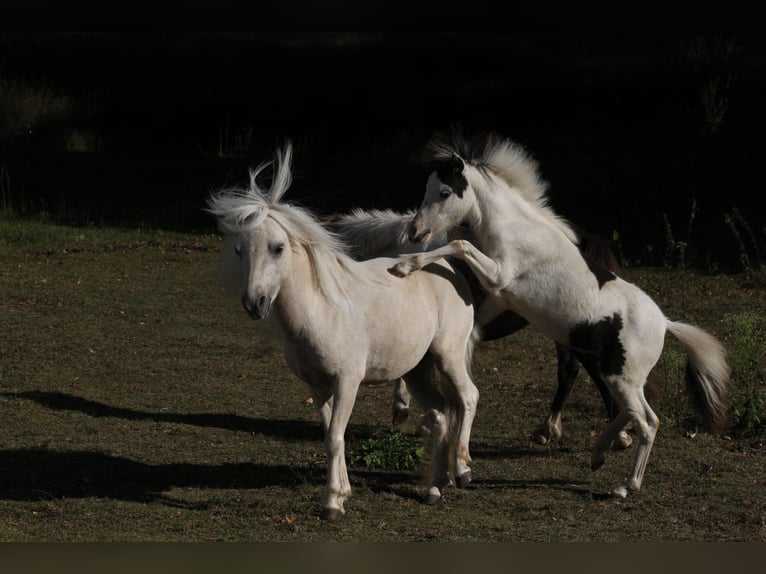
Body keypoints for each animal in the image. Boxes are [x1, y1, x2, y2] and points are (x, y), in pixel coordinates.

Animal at [206, 143, 480, 520]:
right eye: (239, 250)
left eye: (278, 248)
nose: (254, 303)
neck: (322, 311)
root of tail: (446, 267)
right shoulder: (317, 387)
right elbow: (330, 437)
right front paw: (344, 492)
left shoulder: (347, 382)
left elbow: (336, 437)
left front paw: (333, 503)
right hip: (417, 370)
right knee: (439, 416)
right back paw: (434, 489)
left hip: (448, 355)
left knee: (468, 398)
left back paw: (463, 470)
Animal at [390, 132, 732, 500]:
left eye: (444, 192)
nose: (416, 232)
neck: (517, 230)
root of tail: (666, 324)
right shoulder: (500, 298)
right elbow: (472, 326)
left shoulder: (498, 275)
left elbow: (459, 246)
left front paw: (402, 267)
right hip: (619, 376)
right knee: (631, 411)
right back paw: (597, 454)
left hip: (621, 377)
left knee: (647, 422)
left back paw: (625, 486)